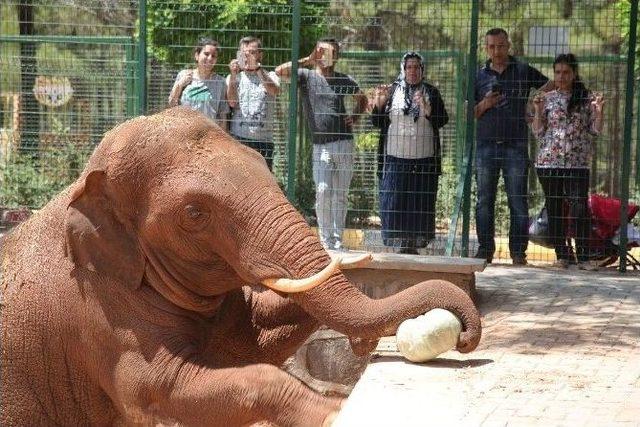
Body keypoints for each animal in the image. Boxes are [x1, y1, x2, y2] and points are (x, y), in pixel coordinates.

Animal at [1, 108, 480, 427]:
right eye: (194, 213)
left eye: (262, 162)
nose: (465, 334)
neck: (86, 183)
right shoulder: (101, 316)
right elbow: (161, 387)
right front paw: (334, 412)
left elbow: (252, 342)